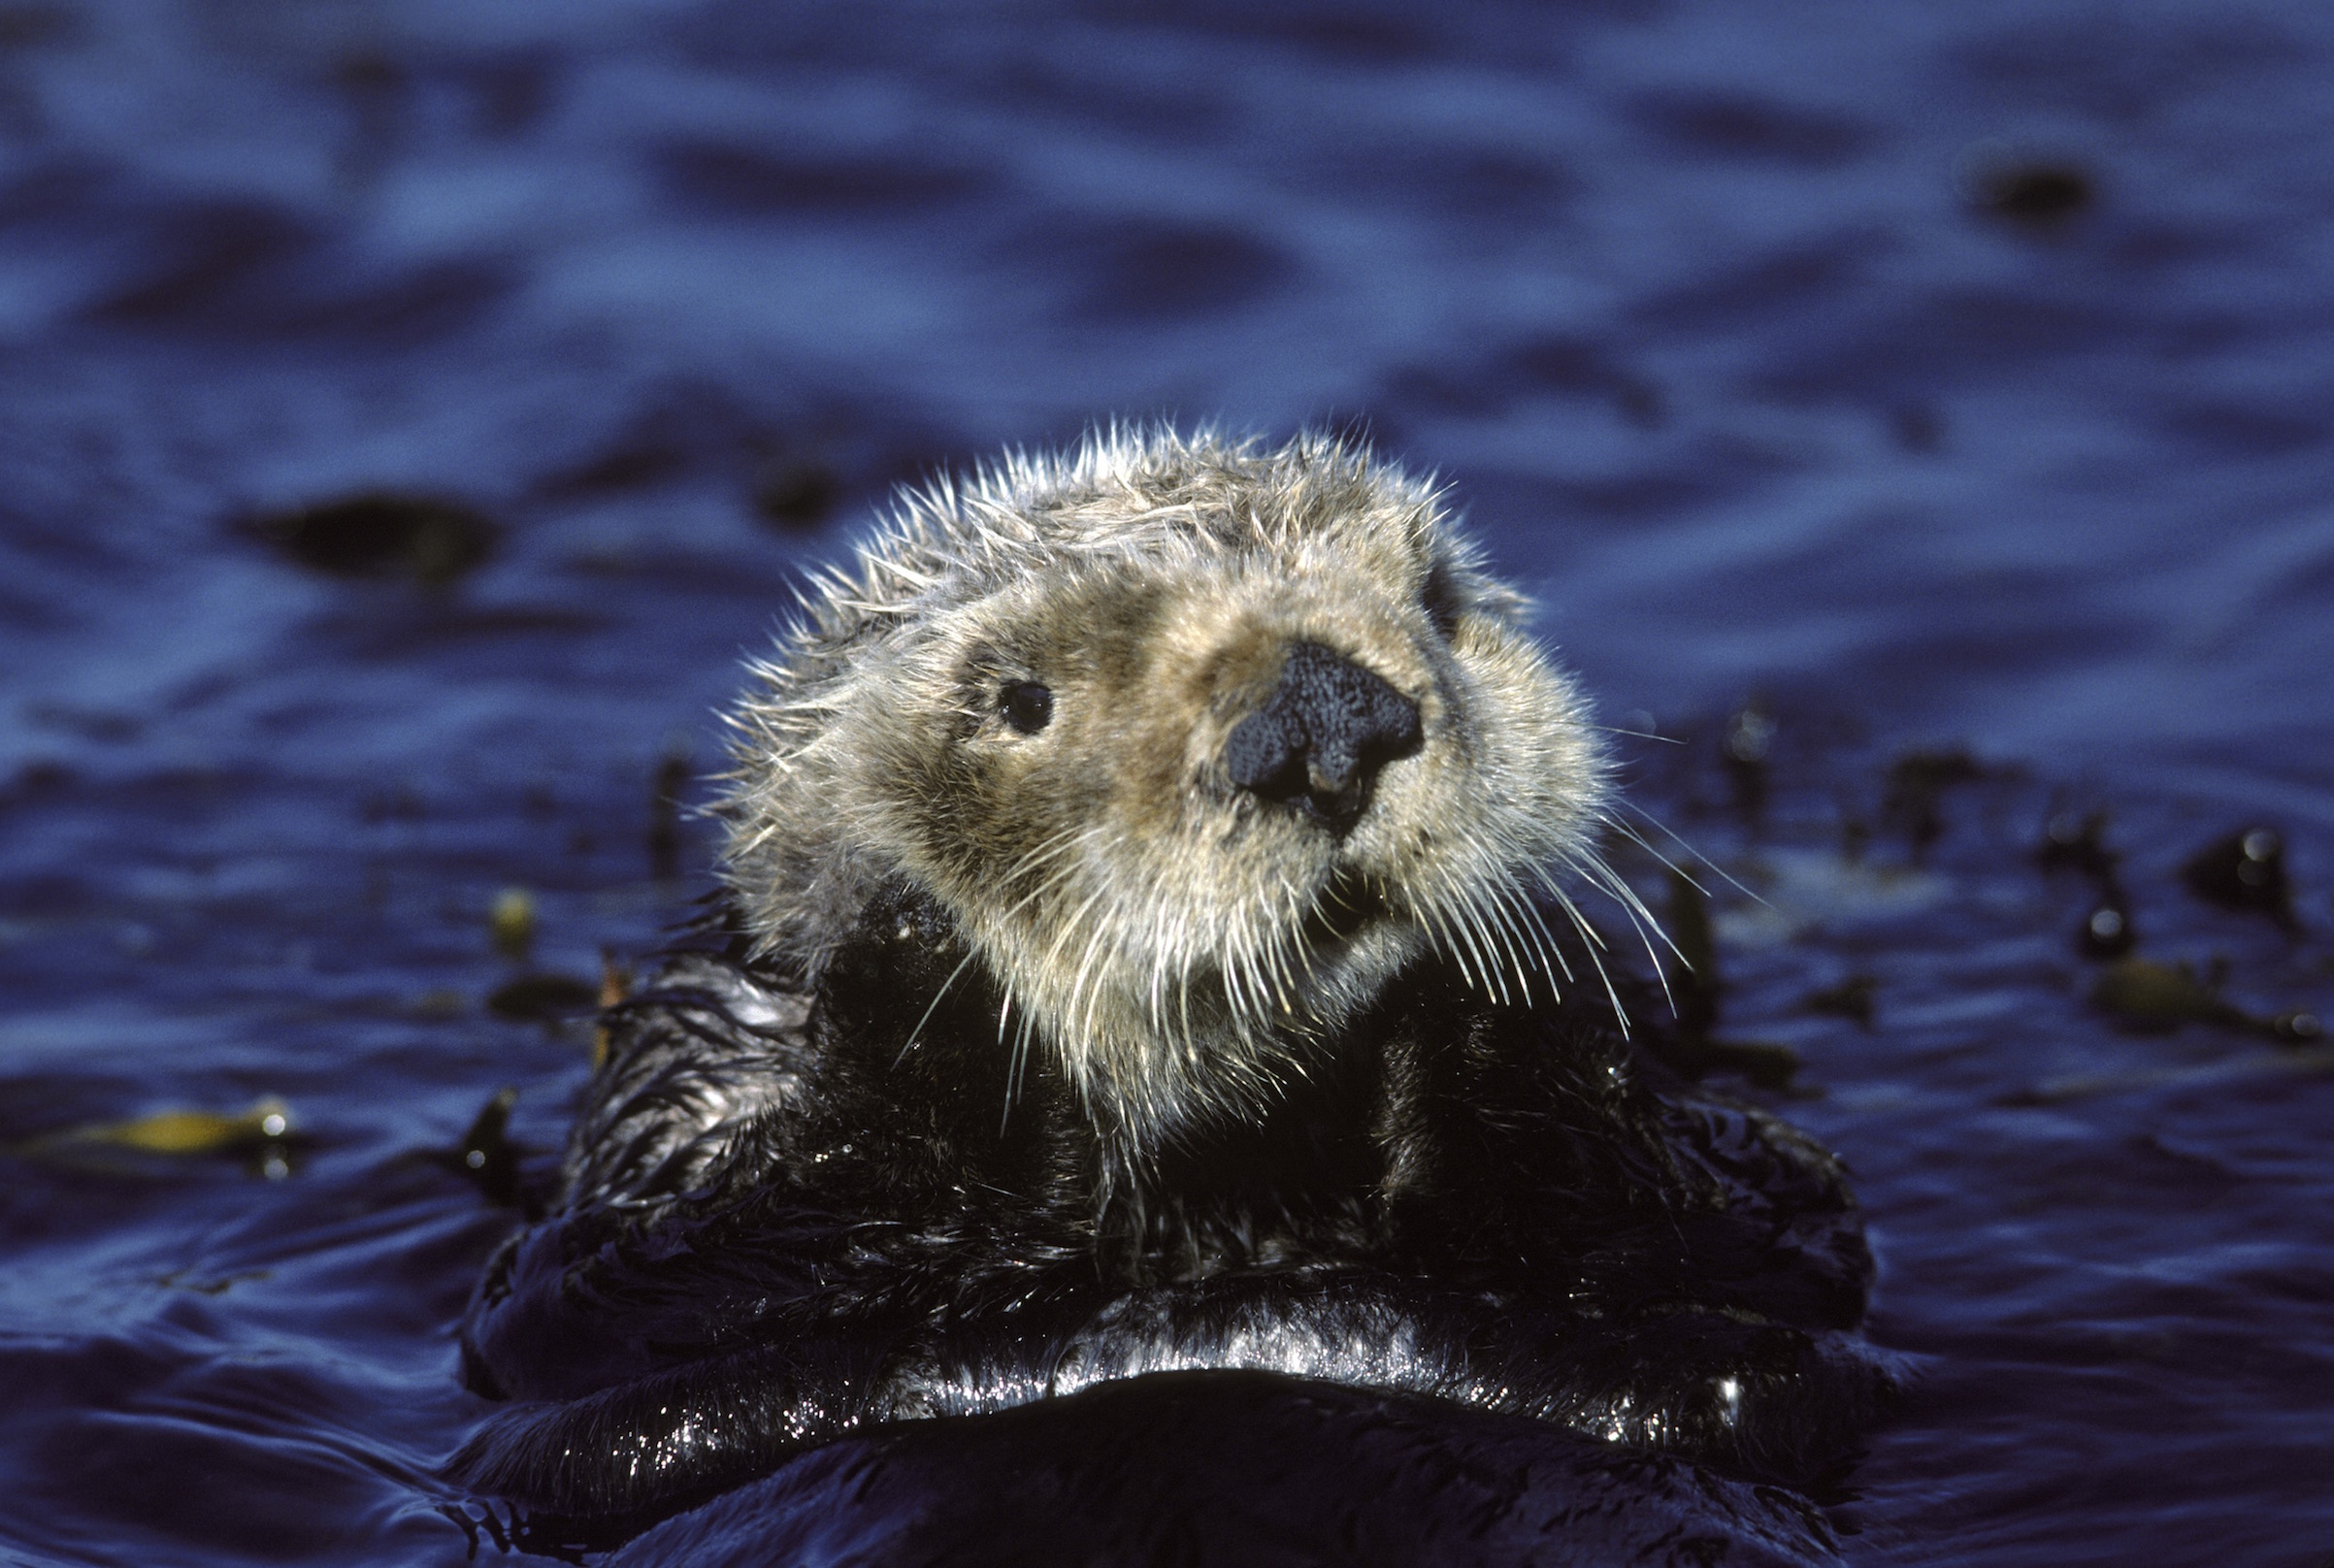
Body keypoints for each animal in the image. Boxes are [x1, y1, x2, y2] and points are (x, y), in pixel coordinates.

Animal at [454, 429, 1884, 1538]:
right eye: (1014, 699)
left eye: (1432, 599)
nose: (1323, 711)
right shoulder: (672, 1101)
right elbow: (612, 1274)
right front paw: (926, 946)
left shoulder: (1736, 1197)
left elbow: (1762, 1210)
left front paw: (1467, 964)